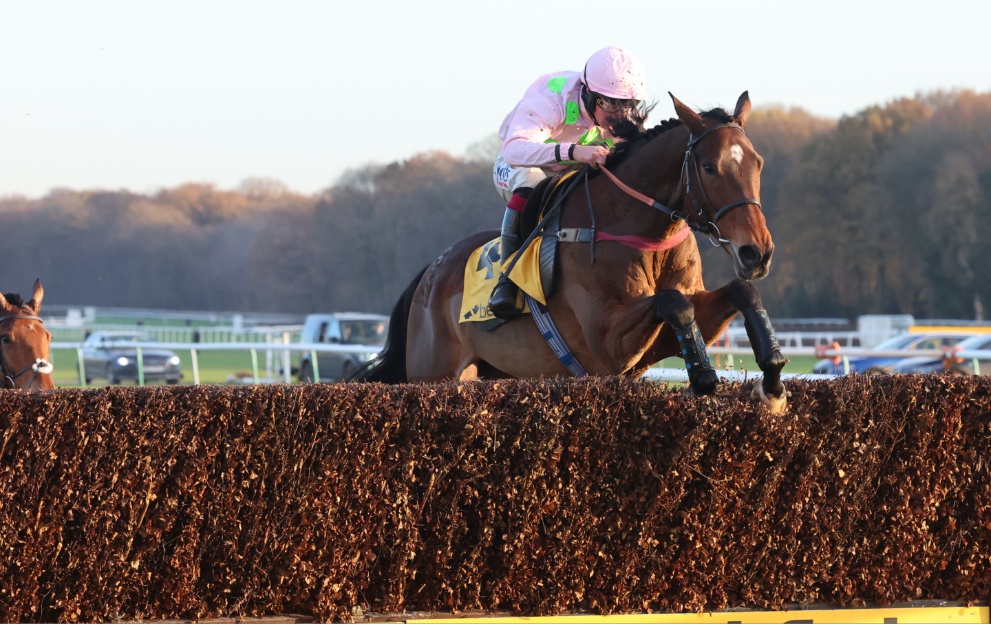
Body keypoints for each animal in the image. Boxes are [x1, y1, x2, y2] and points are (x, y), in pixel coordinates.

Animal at [356, 92, 792, 412]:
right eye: (709, 167)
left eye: (757, 163)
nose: (756, 253)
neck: (641, 233)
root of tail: (431, 271)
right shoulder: (608, 343)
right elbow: (672, 302)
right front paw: (702, 374)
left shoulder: (667, 333)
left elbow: (740, 291)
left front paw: (771, 379)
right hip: (436, 376)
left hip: (499, 373)